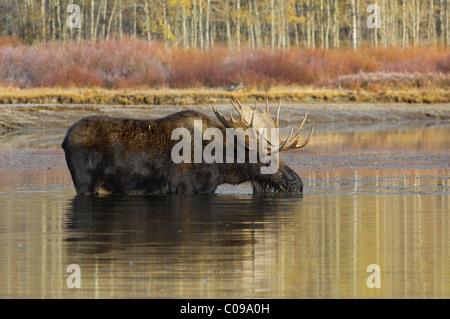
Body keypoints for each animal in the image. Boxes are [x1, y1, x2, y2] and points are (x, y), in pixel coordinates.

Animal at [62, 100, 312, 195]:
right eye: (267, 160)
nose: (298, 184)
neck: (223, 166)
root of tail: (64, 140)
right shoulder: (186, 188)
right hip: (85, 183)